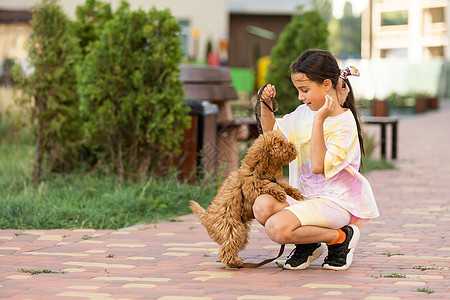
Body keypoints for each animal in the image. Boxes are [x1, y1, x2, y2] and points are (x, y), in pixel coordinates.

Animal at [190, 131, 302, 268]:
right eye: (280, 144)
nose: (293, 146)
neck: (254, 170)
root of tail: (206, 218)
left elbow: (283, 185)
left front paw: (296, 194)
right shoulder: (250, 186)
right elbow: (264, 184)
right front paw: (280, 192)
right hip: (234, 229)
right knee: (226, 250)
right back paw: (235, 262)